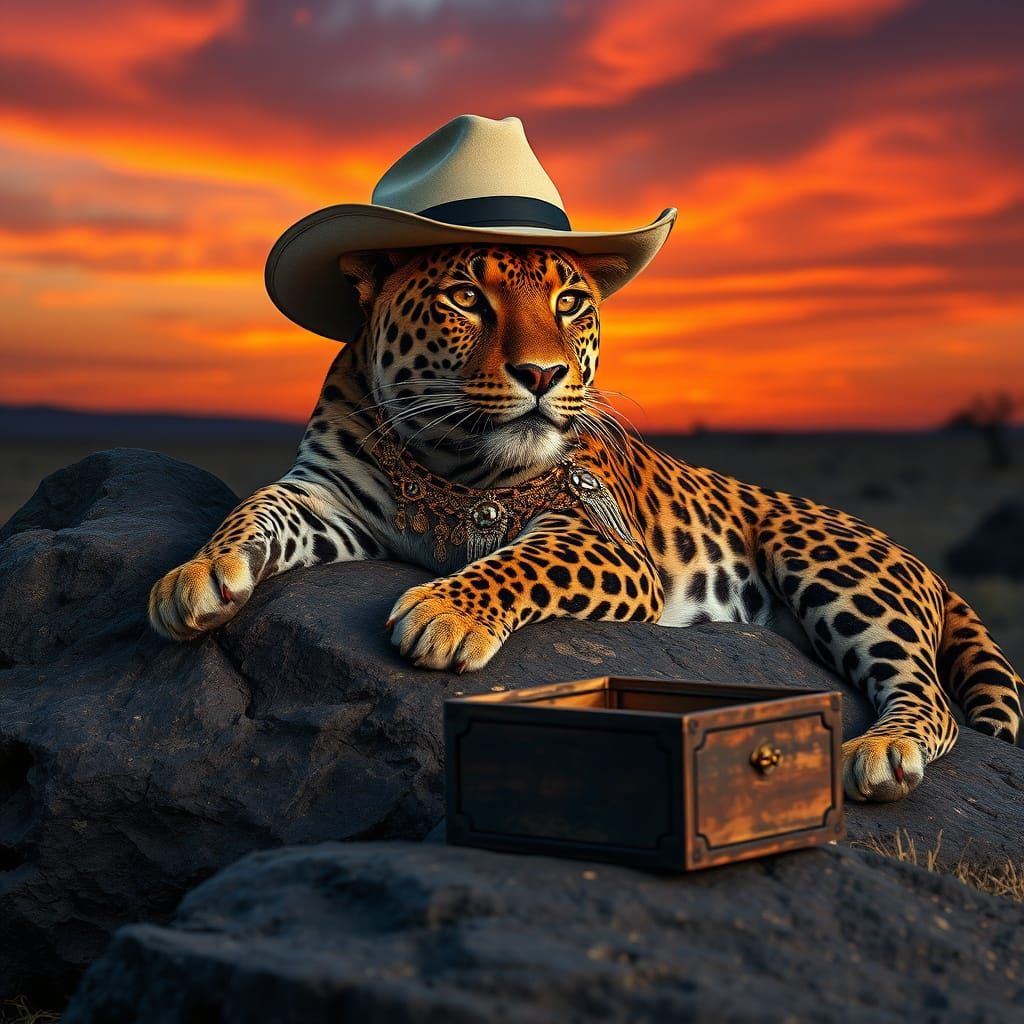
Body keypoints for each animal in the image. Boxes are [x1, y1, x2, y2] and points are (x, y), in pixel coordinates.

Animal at [149, 243, 1023, 803]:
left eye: (569, 304)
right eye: (466, 298)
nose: (543, 374)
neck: (446, 458)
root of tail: (924, 563)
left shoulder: (605, 540)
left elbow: (518, 563)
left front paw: (444, 613)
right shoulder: (328, 497)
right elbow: (255, 507)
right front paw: (196, 575)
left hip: (823, 556)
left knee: (928, 695)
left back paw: (882, 752)